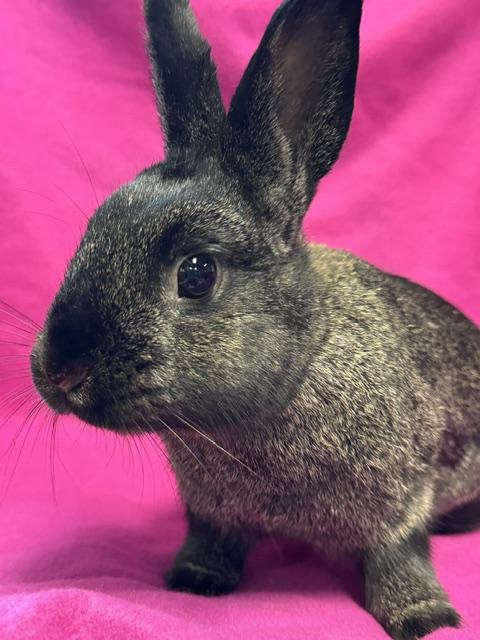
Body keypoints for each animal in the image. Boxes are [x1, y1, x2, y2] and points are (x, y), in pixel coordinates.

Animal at [29, 0, 480, 638]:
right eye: (92, 232)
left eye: (197, 273)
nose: (61, 371)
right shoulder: (211, 512)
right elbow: (212, 540)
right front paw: (194, 578)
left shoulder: (404, 495)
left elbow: (400, 555)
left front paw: (425, 618)